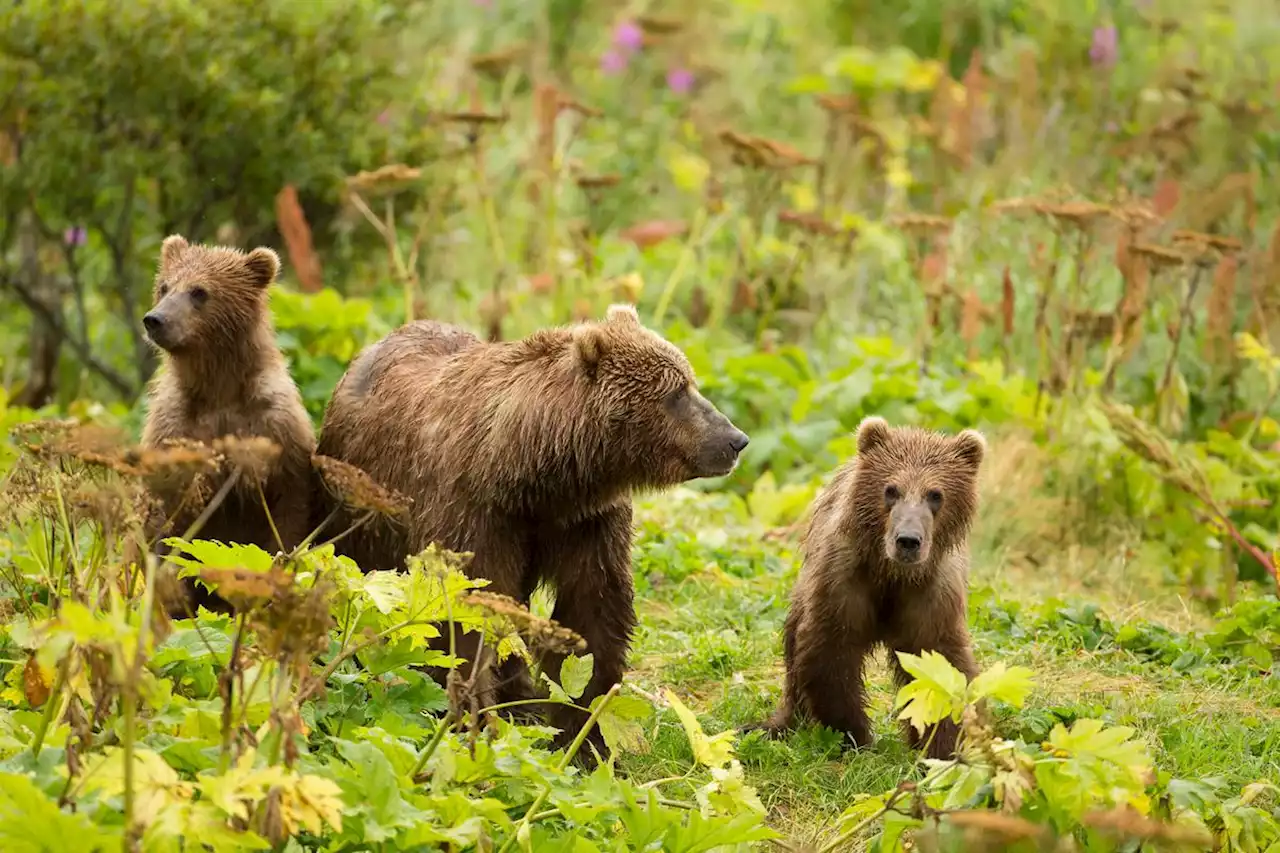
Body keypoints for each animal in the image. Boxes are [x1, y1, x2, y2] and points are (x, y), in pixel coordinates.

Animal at [140, 235, 317, 614]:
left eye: (199, 291)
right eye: (164, 286)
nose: (155, 320)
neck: (218, 390)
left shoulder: (275, 429)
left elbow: (287, 516)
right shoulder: (174, 428)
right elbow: (165, 523)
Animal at [312, 302, 747, 753]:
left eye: (690, 382)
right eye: (676, 393)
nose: (736, 440)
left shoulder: (585, 521)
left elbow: (592, 611)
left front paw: (582, 736)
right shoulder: (471, 511)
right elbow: (466, 615)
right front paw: (472, 720)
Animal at [747, 414, 983, 753]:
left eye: (935, 494)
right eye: (891, 489)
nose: (907, 540)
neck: (892, 574)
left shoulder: (931, 592)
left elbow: (938, 661)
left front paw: (942, 743)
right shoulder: (844, 578)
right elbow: (829, 651)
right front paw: (855, 734)